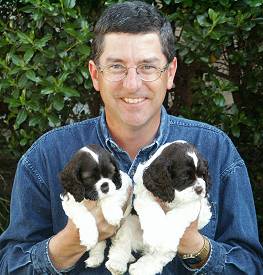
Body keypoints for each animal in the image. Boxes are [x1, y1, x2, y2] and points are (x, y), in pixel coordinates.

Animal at [106, 141, 211, 274]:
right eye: (185, 178)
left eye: (203, 175)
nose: (200, 189)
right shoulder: (145, 193)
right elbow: (152, 211)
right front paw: (155, 235)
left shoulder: (193, 204)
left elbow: (178, 216)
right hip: (130, 223)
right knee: (122, 242)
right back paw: (117, 264)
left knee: (156, 258)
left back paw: (139, 269)